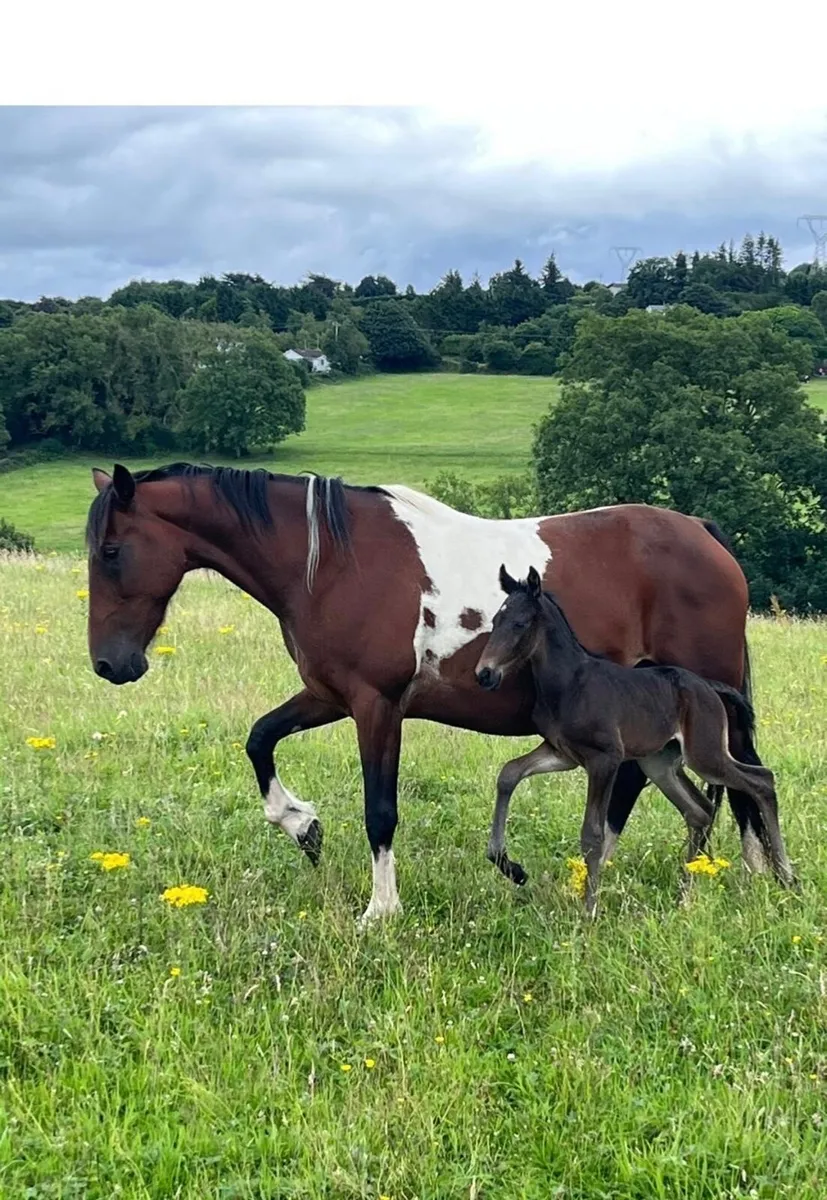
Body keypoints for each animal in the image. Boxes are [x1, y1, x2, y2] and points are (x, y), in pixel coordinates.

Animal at [475, 566, 794, 914]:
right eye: (495, 620)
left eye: (520, 623)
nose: (484, 674)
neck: (570, 682)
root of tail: (710, 687)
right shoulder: (562, 753)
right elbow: (510, 773)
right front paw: (510, 865)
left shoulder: (605, 758)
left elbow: (593, 834)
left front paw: (589, 911)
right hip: (660, 763)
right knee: (699, 810)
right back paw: (686, 894)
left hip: (705, 755)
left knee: (761, 780)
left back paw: (788, 878)